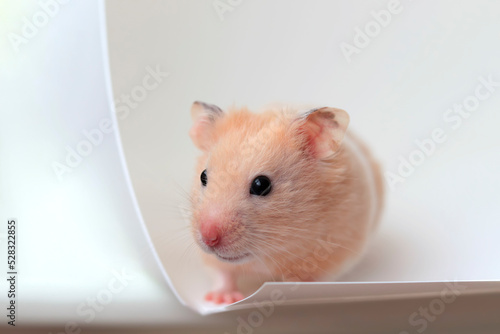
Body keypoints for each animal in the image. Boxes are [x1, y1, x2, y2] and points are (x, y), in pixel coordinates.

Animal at [187, 100, 382, 304]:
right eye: (203, 176)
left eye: (261, 184)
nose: (208, 238)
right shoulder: (213, 261)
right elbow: (222, 273)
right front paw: (221, 299)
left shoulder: (338, 250)